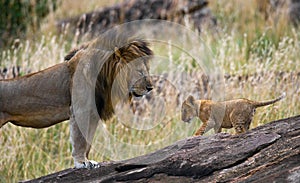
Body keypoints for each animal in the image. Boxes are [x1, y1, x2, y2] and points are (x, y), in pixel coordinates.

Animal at [0, 30, 154, 169]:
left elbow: (88, 140)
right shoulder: (80, 110)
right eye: (140, 71)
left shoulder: (93, 113)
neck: (104, 78)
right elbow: (80, 139)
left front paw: (88, 160)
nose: (151, 88)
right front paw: (82, 163)